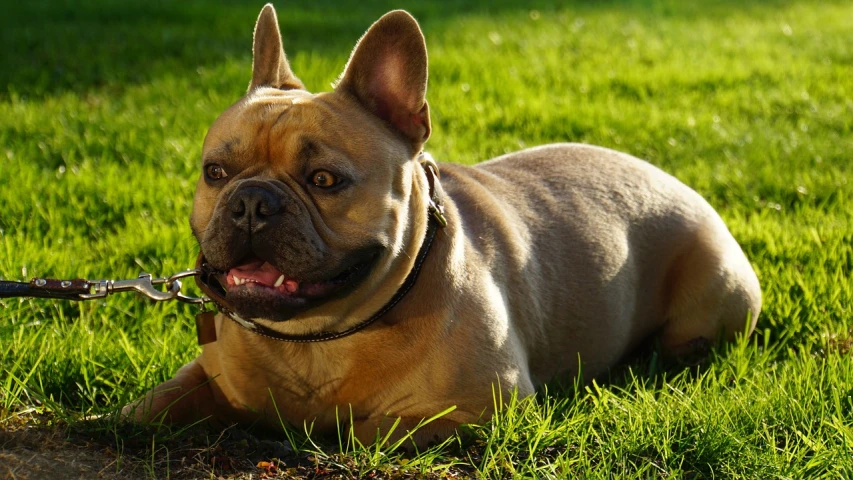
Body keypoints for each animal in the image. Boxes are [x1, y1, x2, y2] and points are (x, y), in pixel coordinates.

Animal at [125, 3, 760, 448]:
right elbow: (149, 406)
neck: (315, 339)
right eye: (215, 172)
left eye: (325, 180)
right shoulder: (206, 376)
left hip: (714, 292)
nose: (252, 202)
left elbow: (367, 429)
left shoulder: (481, 406)